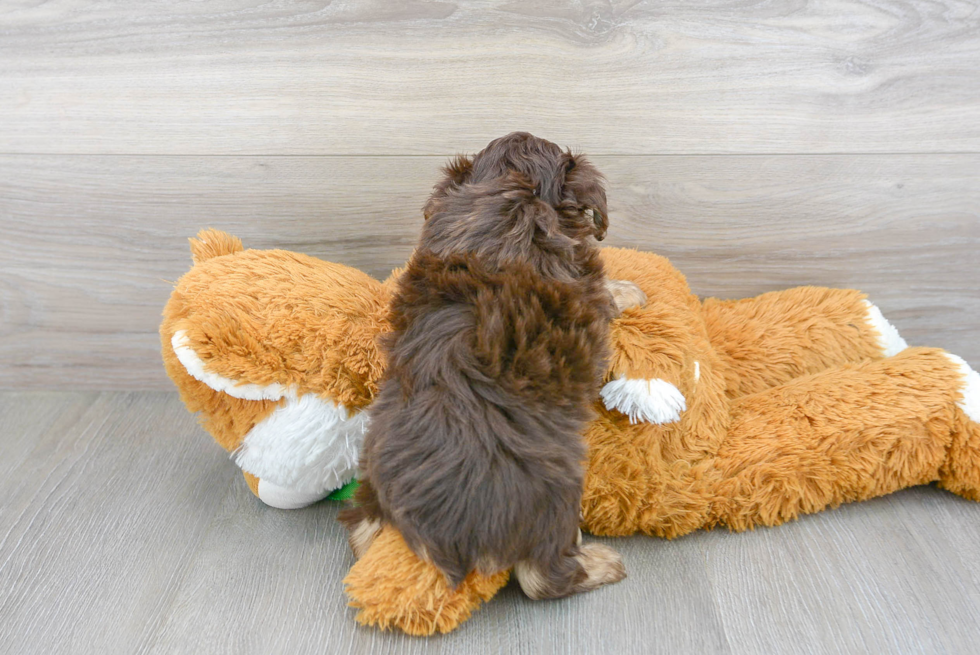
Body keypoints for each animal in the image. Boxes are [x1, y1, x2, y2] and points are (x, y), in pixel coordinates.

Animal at [342, 132, 636, 600]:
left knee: (362, 530)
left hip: (373, 475)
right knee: (540, 577)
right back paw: (601, 564)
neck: (509, 189)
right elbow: (609, 291)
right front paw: (631, 290)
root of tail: (438, 540)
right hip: (555, 491)